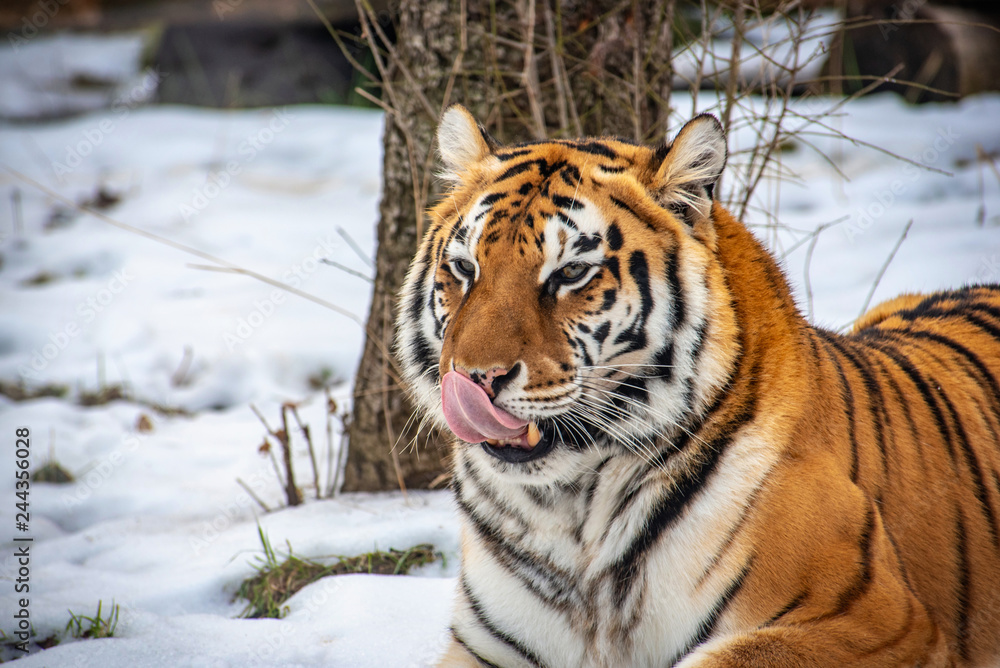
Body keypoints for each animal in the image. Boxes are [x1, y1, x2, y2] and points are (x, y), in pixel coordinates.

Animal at [395, 103, 1000, 668]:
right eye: (465, 269)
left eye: (570, 273)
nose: (476, 377)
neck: (572, 516)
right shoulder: (487, 645)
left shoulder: (878, 621)